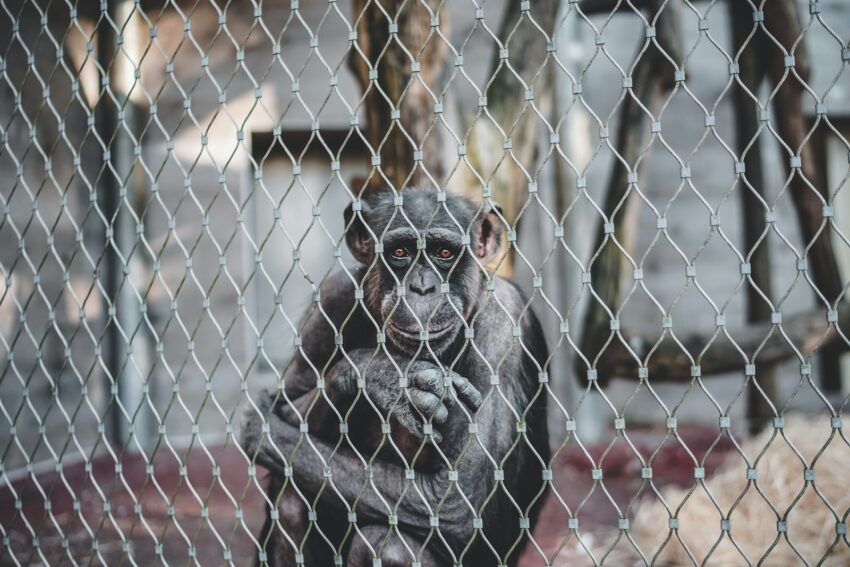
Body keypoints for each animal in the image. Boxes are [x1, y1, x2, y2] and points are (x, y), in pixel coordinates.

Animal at [242, 189, 548, 564]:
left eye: (444, 253)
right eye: (400, 252)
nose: (421, 287)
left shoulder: (503, 325)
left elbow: (457, 501)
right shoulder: (333, 295)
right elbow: (285, 401)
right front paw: (387, 377)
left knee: (389, 546)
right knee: (291, 500)